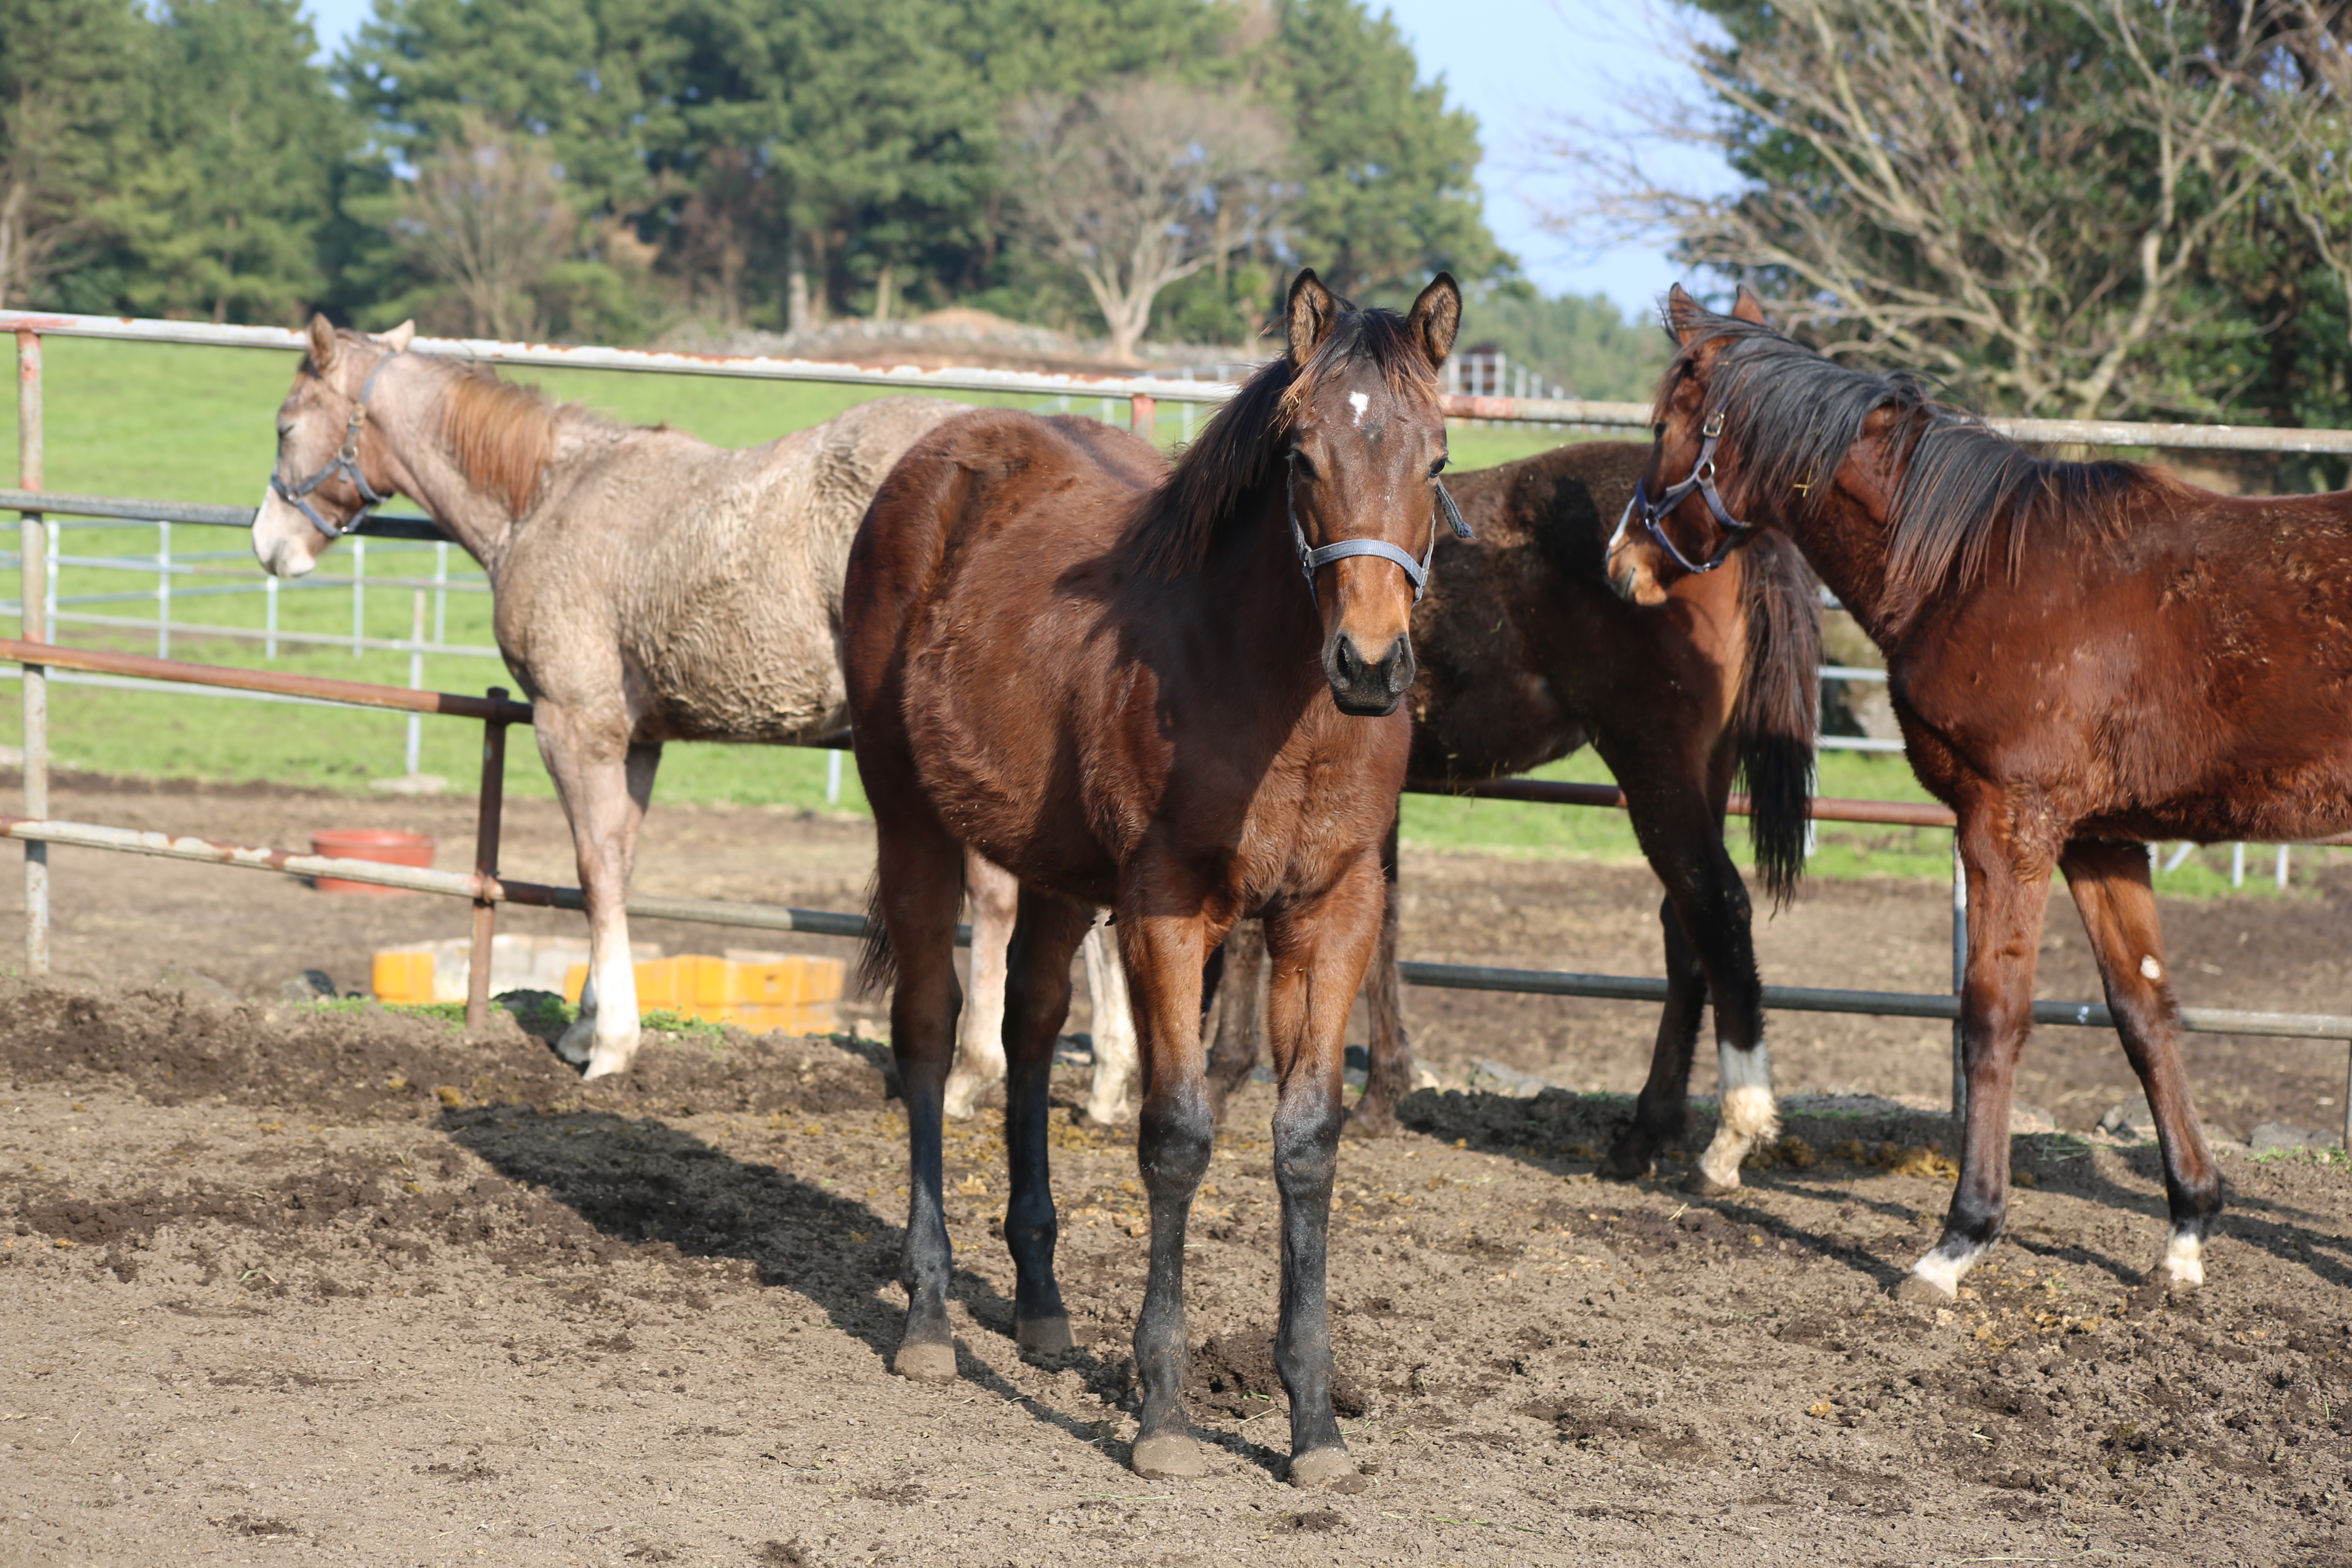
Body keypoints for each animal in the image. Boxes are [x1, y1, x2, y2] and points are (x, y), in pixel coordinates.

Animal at [846, 276, 1458, 1495]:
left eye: (1438, 461)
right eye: (1301, 458)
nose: (1371, 666)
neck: (1273, 698)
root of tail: (932, 461)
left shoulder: (1332, 913)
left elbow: (1307, 1142)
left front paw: (1313, 1425)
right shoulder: (1169, 909)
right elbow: (1174, 1134)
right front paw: (1166, 1411)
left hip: (1052, 866)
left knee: (1030, 1028)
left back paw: (1039, 1306)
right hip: (913, 823)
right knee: (931, 1029)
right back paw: (930, 1318)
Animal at [1195, 435, 1815, 1194]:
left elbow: (1253, 934)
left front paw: (1224, 1078)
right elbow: (1382, 930)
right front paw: (1384, 1095)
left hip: (1656, 766)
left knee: (1719, 909)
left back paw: (1725, 1141)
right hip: (1702, 774)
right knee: (1687, 927)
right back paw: (1646, 1133)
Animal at [1608, 288, 2352, 1307]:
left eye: (1661, 428)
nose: (1621, 564)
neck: (1978, 567)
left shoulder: (2011, 822)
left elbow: (1993, 1015)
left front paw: (1957, 1242)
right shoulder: (2101, 840)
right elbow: (2145, 1013)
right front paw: (2188, 1233)